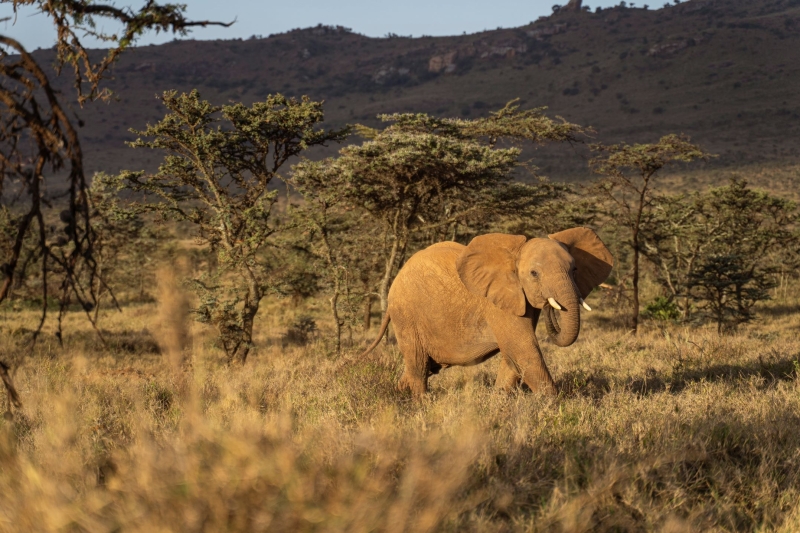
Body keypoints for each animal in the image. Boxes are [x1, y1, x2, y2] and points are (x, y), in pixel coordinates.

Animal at [361, 227, 613, 397]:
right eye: (534, 274)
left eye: (575, 269)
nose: (551, 307)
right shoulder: (498, 303)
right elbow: (523, 349)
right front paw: (553, 404)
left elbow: (513, 356)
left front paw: (499, 400)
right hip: (406, 315)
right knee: (418, 364)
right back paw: (420, 403)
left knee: (423, 367)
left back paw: (396, 395)